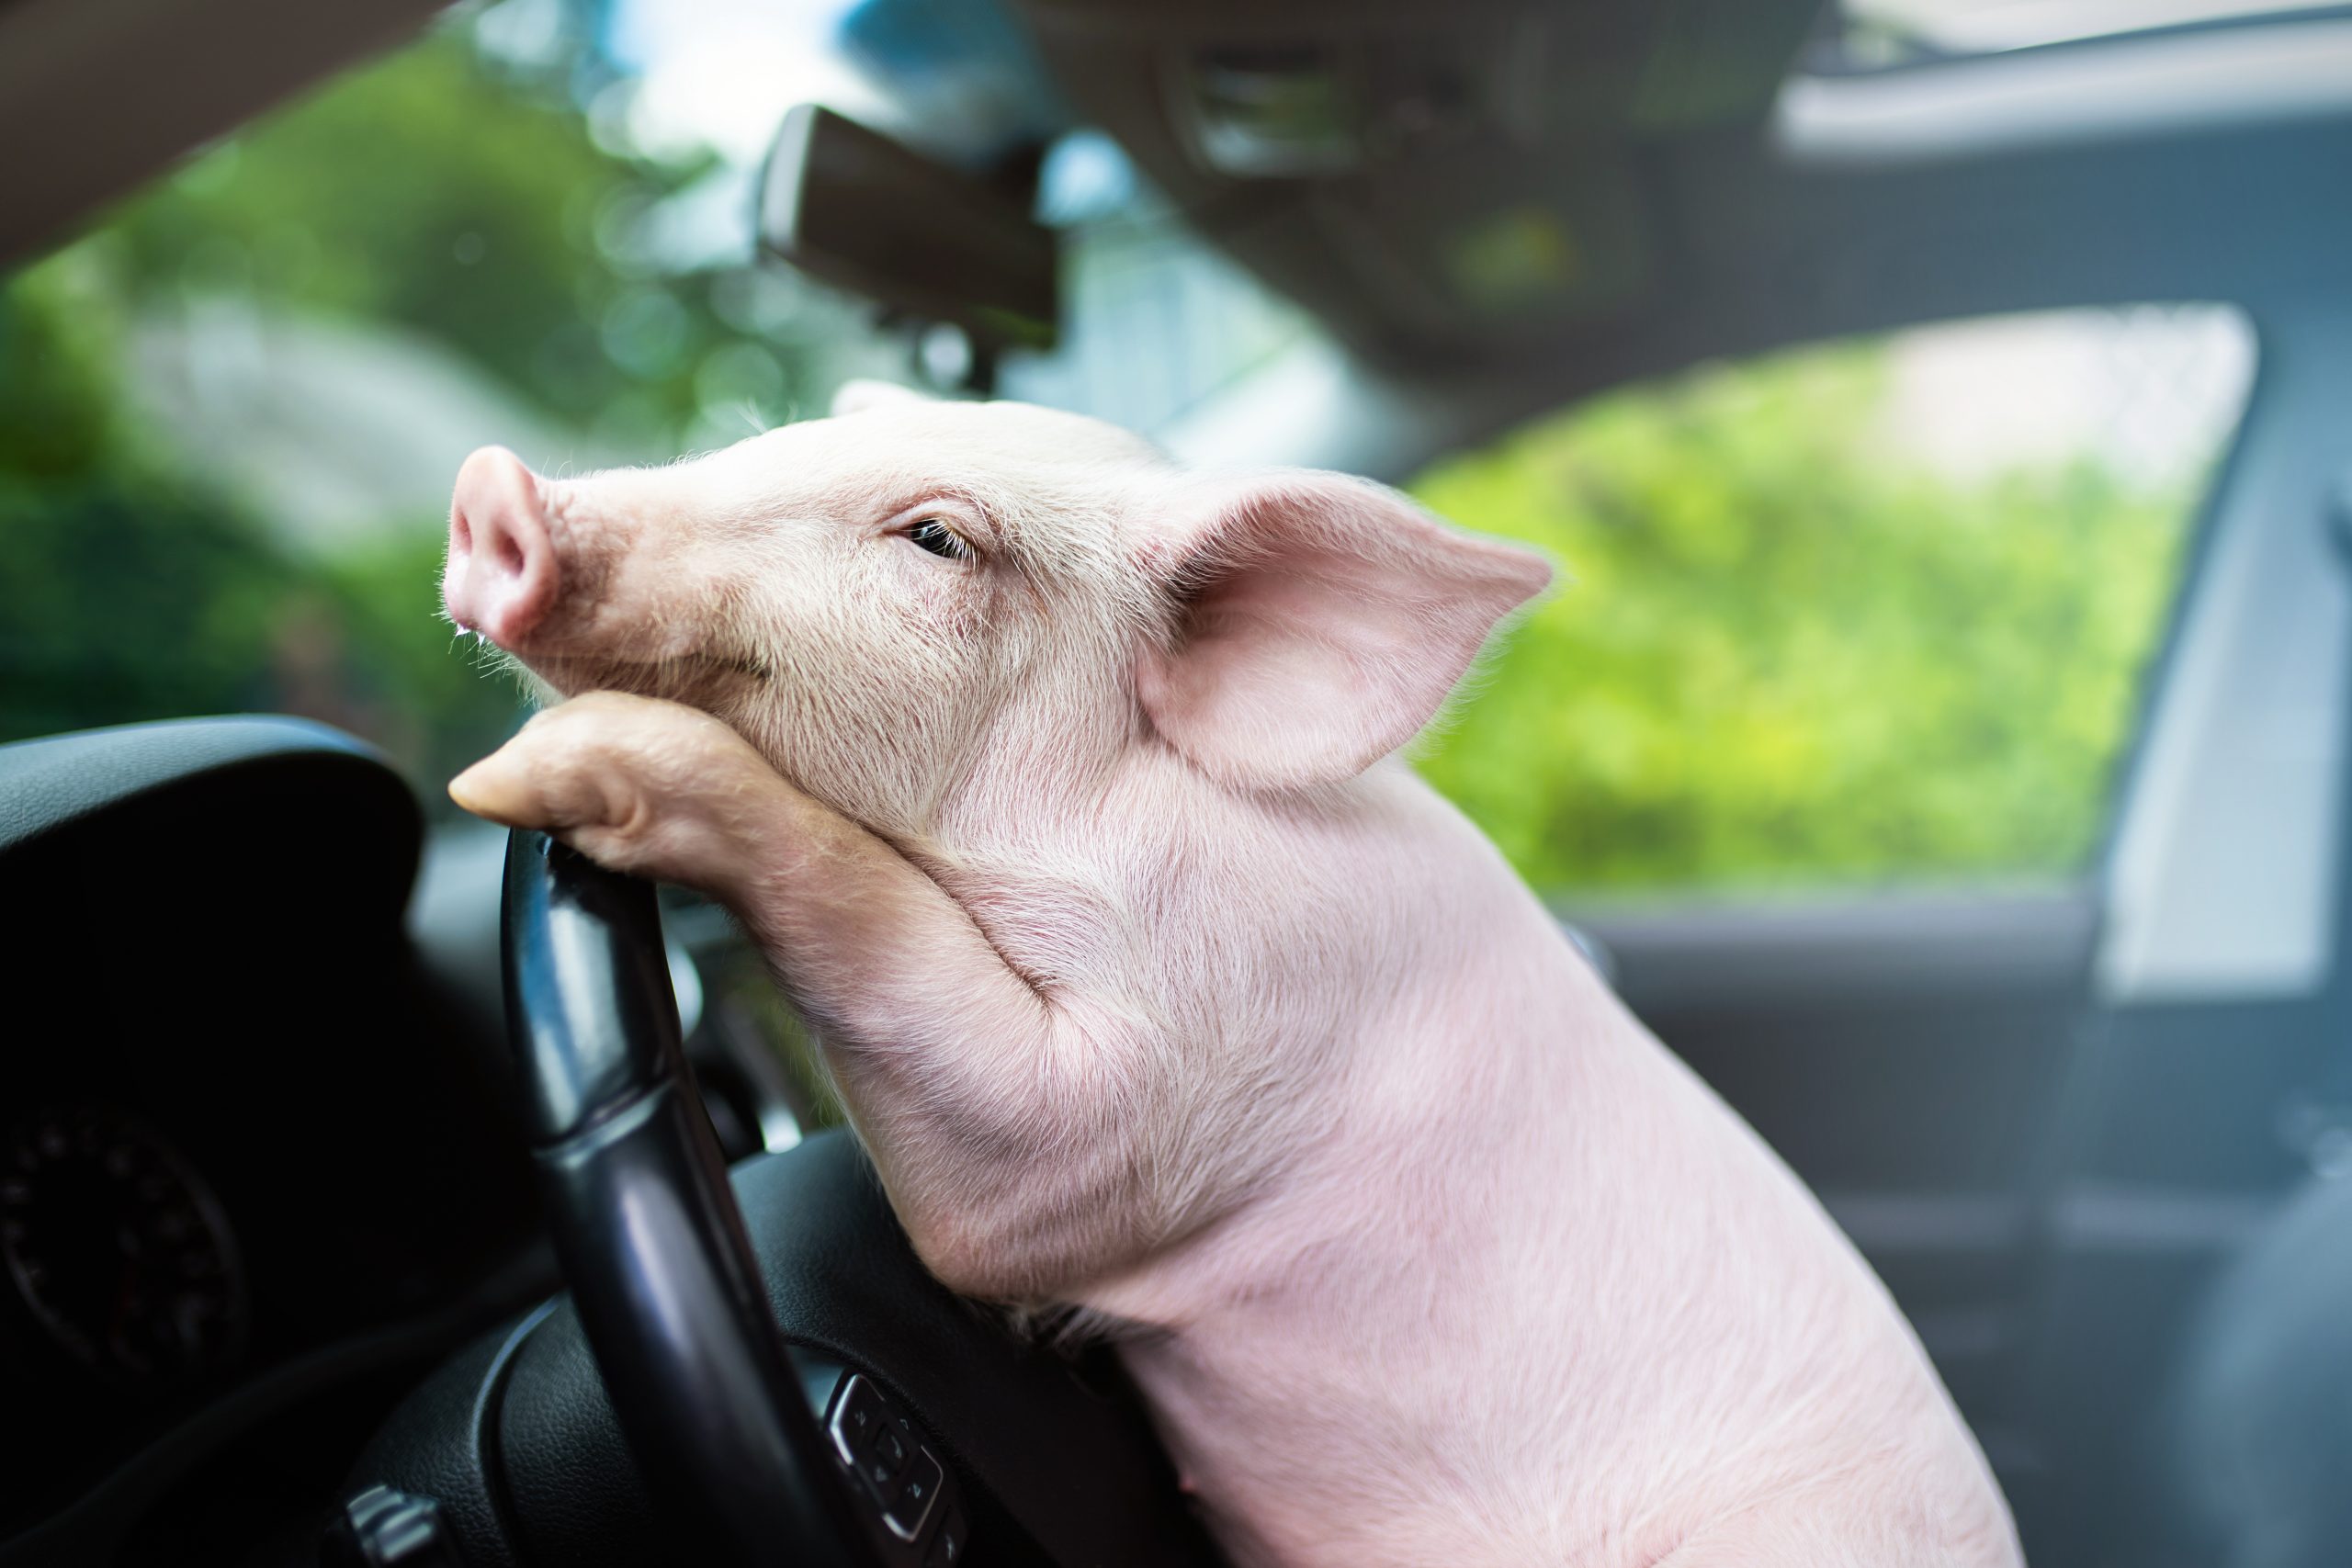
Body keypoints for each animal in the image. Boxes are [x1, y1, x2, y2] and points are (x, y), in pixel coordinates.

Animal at [442, 381, 2023, 1568]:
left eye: (937, 537)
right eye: (765, 439)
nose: (495, 488)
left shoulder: (1180, 1085)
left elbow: (988, 1164)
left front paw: (520, 775)